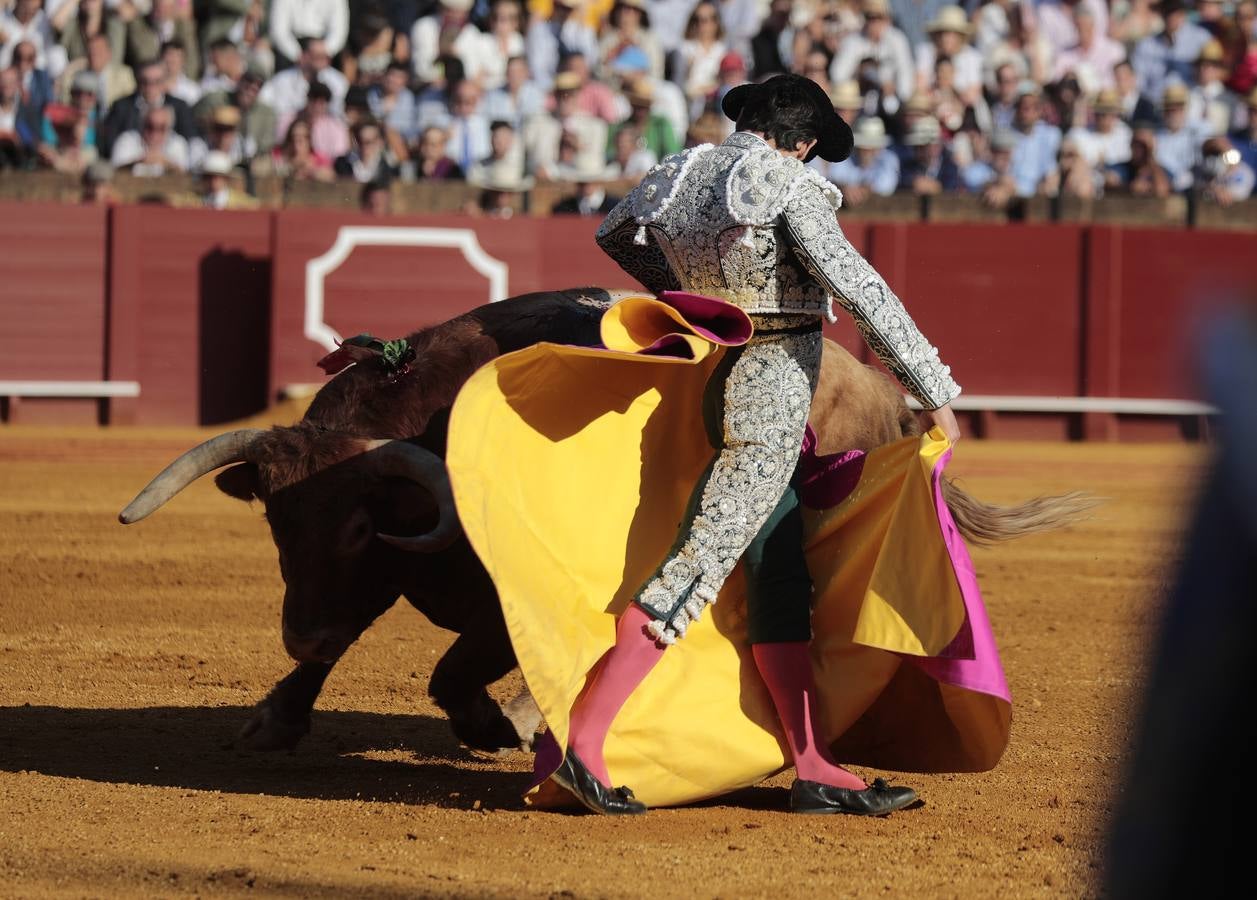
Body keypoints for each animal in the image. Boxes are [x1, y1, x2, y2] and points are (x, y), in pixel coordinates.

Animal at [120, 287, 1101, 754]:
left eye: (358, 529)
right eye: (278, 526)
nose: (298, 631)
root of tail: (885, 394)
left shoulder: (498, 591)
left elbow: (455, 669)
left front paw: (500, 725)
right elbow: (357, 642)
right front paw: (275, 716)